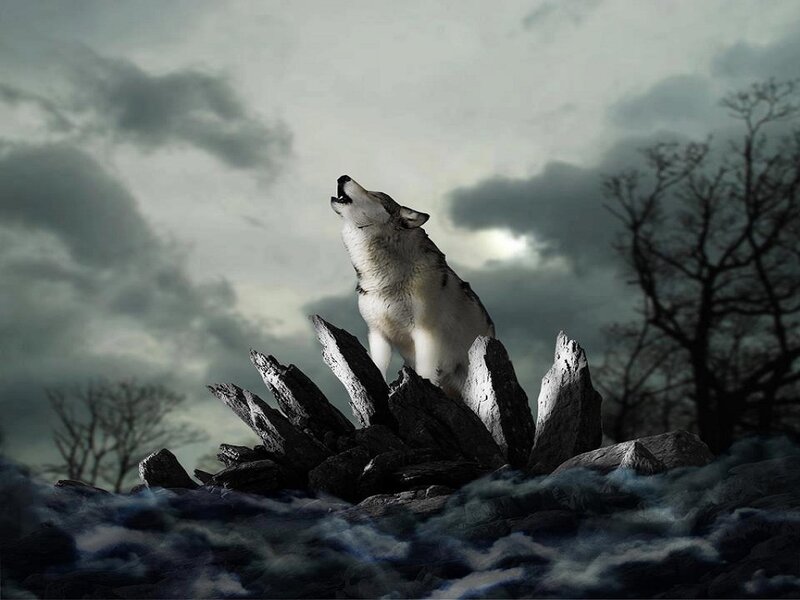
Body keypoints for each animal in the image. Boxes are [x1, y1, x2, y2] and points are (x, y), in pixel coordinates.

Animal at [330, 175, 495, 398]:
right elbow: (378, 367)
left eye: (374, 195)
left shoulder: (425, 332)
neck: (382, 279)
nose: (342, 177)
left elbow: (425, 371)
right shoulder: (377, 334)